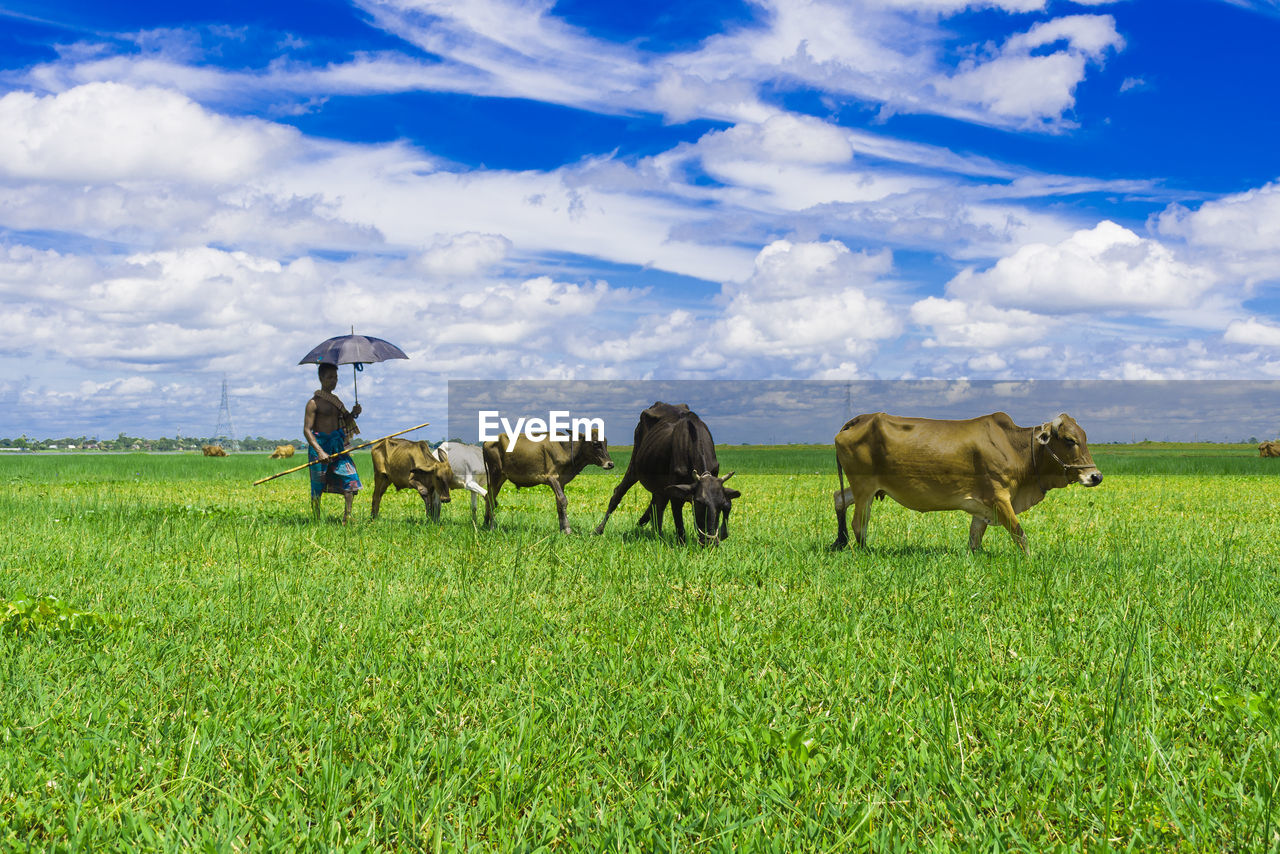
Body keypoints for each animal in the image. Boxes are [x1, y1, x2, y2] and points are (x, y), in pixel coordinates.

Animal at [483, 435, 614, 535]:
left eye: (606, 443)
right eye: (596, 444)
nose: (610, 464)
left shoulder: (561, 482)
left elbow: (559, 504)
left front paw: (562, 529)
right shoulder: (552, 478)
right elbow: (563, 500)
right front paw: (567, 530)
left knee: (488, 497)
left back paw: (485, 524)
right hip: (496, 475)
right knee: (490, 499)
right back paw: (492, 527)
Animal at [591, 402, 742, 547]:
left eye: (720, 504)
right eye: (699, 502)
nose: (711, 542)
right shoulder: (676, 494)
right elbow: (679, 525)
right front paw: (681, 544)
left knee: (656, 503)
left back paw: (651, 528)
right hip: (634, 465)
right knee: (618, 494)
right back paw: (599, 529)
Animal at [834, 412, 1105, 558]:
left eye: (1084, 437)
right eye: (1070, 440)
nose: (1096, 476)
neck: (1017, 449)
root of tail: (860, 420)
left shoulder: (983, 507)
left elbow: (975, 538)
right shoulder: (1000, 498)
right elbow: (1020, 535)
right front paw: (1031, 560)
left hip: (866, 488)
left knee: (839, 498)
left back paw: (839, 542)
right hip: (864, 487)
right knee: (859, 522)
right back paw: (865, 551)